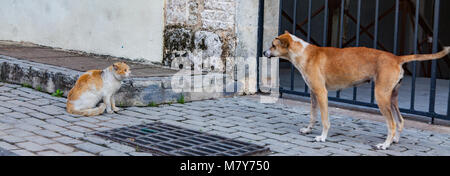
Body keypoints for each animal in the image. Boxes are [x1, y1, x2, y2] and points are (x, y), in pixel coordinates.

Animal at [266, 31, 448, 149]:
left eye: (273, 45)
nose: (263, 52)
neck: (304, 53)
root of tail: (397, 58)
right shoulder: (313, 94)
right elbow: (312, 115)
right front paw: (308, 130)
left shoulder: (322, 93)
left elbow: (325, 120)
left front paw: (322, 137)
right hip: (391, 98)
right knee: (400, 121)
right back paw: (394, 140)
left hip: (381, 98)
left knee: (392, 124)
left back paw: (385, 145)